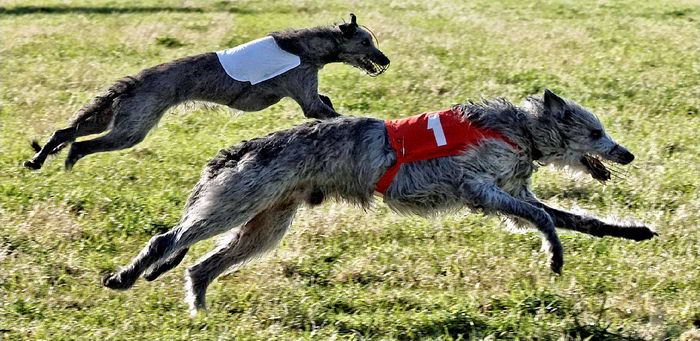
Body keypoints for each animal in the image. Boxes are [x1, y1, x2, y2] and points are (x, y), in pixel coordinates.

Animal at [26, 13, 388, 170]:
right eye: (365, 42)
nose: (385, 60)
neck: (306, 47)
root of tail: (133, 81)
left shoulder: (309, 93)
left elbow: (325, 104)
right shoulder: (303, 89)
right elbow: (326, 110)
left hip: (108, 117)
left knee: (65, 131)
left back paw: (37, 159)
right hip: (131, 128)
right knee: (82, 144)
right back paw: (69, 159)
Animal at [102, 89, 656, 314]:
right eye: (596, 131)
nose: (626, 153)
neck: (520, 129)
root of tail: (241, 149)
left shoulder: (510, 192)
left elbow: (578, 218)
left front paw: (632, 230)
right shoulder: (482, 190)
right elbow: (543, 217)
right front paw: (555, 254)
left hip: (264, 226)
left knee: (200, 267)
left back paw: (199, 311)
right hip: (233, 205)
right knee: (168, 239)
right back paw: (126, 276)